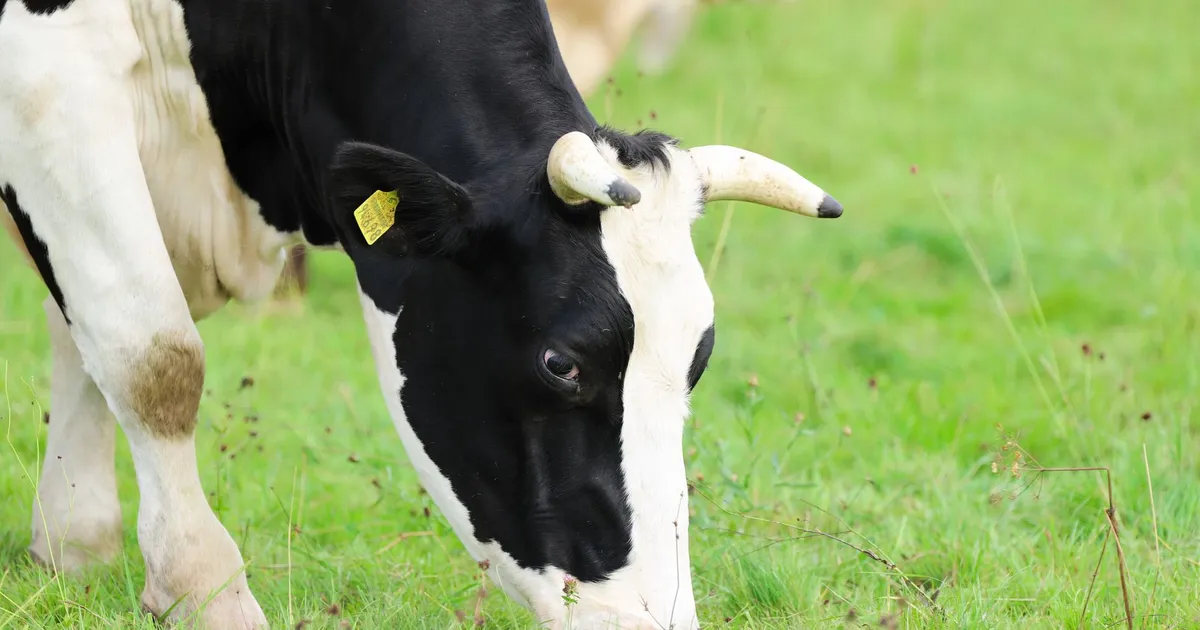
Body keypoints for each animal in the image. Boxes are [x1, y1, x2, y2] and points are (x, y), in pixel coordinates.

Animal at [0, 0, 842, 628]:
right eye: (561, 363)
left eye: (699, 357)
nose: (649, 618)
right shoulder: (50, 72)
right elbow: (154, 356)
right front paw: (205, 592)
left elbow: (85, 330)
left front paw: (72, 541)